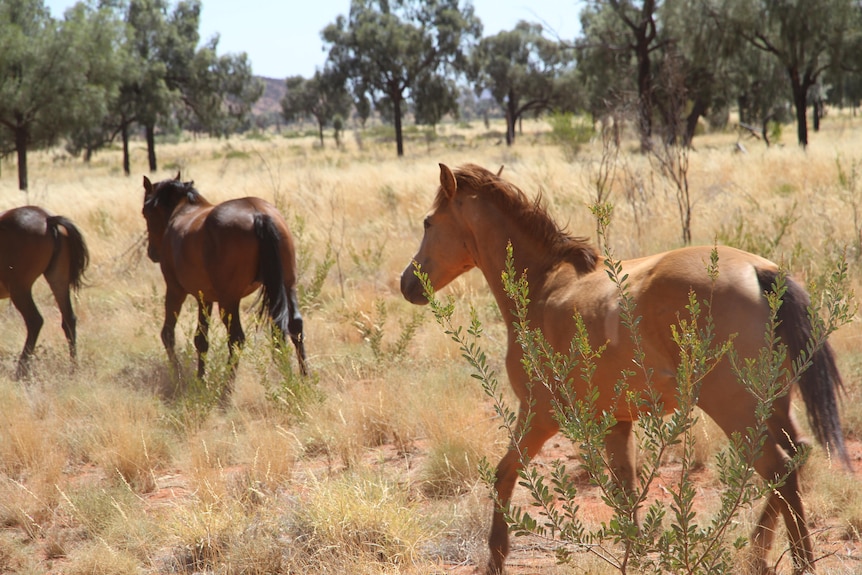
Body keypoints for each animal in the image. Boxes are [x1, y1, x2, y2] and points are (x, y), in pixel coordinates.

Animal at [0, 206, 89, 378]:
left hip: (19, 289)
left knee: (35, 320)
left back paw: (21, 372)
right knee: (69, 319)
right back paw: (74, 369)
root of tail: (47, 218)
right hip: (58, 279)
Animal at [140, 172, 306, 396]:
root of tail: (258, 214)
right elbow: (201, 340)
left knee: (236, 338)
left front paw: (179, 378)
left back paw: (226, 393)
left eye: (145, 212)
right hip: (288, 285)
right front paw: (200, 380)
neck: (183, 209)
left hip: (229, 300)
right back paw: (305, 379)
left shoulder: (176, 290)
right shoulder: (205, 297)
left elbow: (168, 333)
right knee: (295, 325)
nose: (152, 252)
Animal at [400, 163, 852, 575]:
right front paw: (634, 559)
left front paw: (495, 559)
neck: (545, 286)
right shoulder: (617, 422)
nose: (408, 283)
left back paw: (789, 559)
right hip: (772, 406)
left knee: (779, 470)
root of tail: (762, 273)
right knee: (796, 459)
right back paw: (761, 554)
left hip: (735, 410)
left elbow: (504, 474)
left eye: (428, 221)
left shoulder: (539, 415)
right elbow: (627, 495)